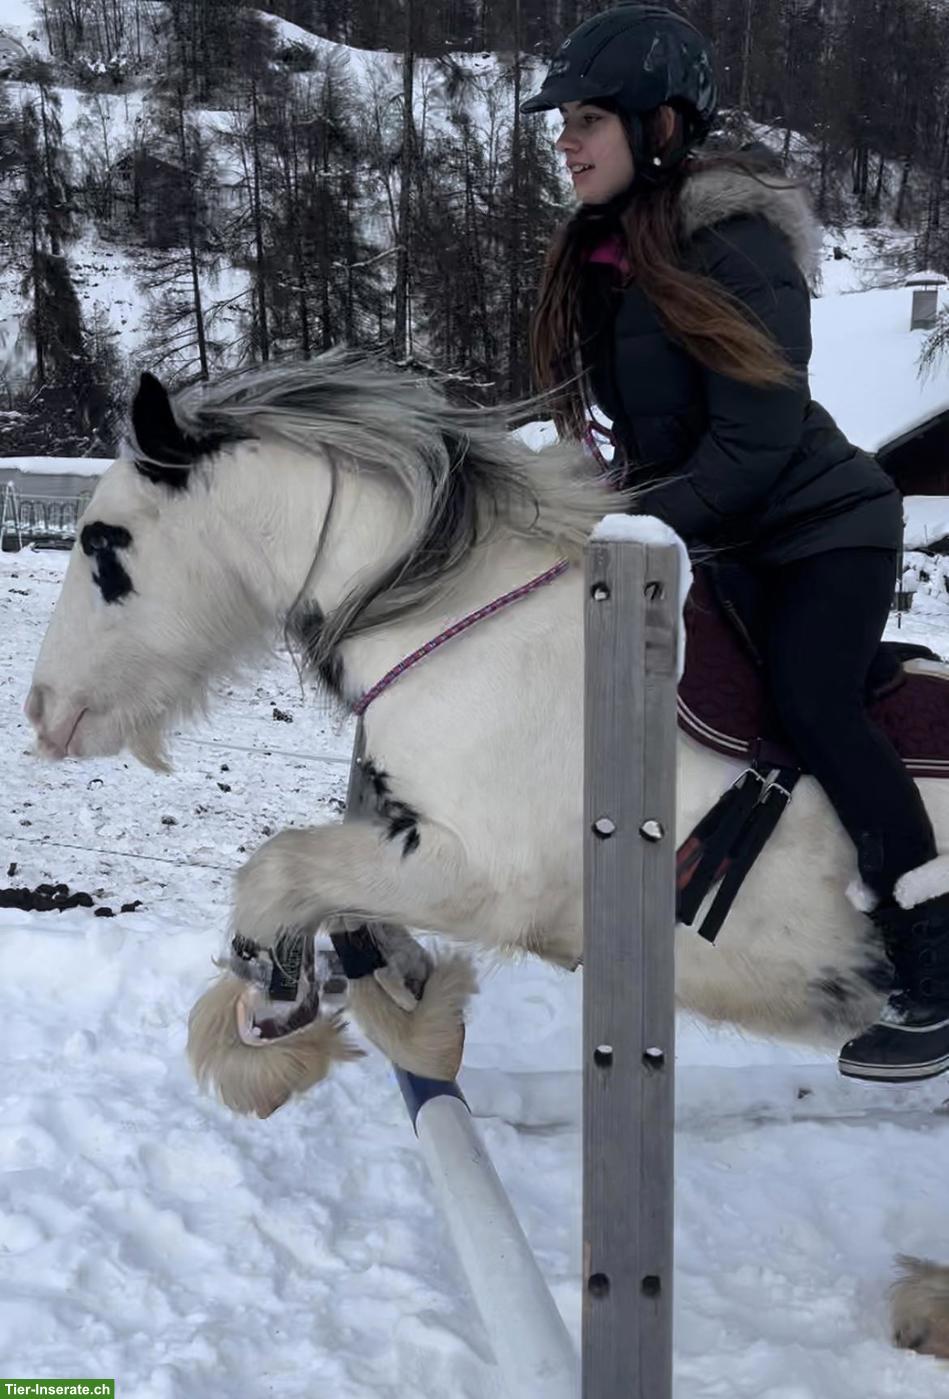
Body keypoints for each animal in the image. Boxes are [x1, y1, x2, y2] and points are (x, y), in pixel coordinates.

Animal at [24, 349, 949, 1359]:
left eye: (105, 544)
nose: (43, 712)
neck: (467, 631)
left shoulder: (483, 882)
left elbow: (277, 871)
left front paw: (268, 1027)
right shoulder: (409, 846)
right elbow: (341, 909)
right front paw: (393, 1004)